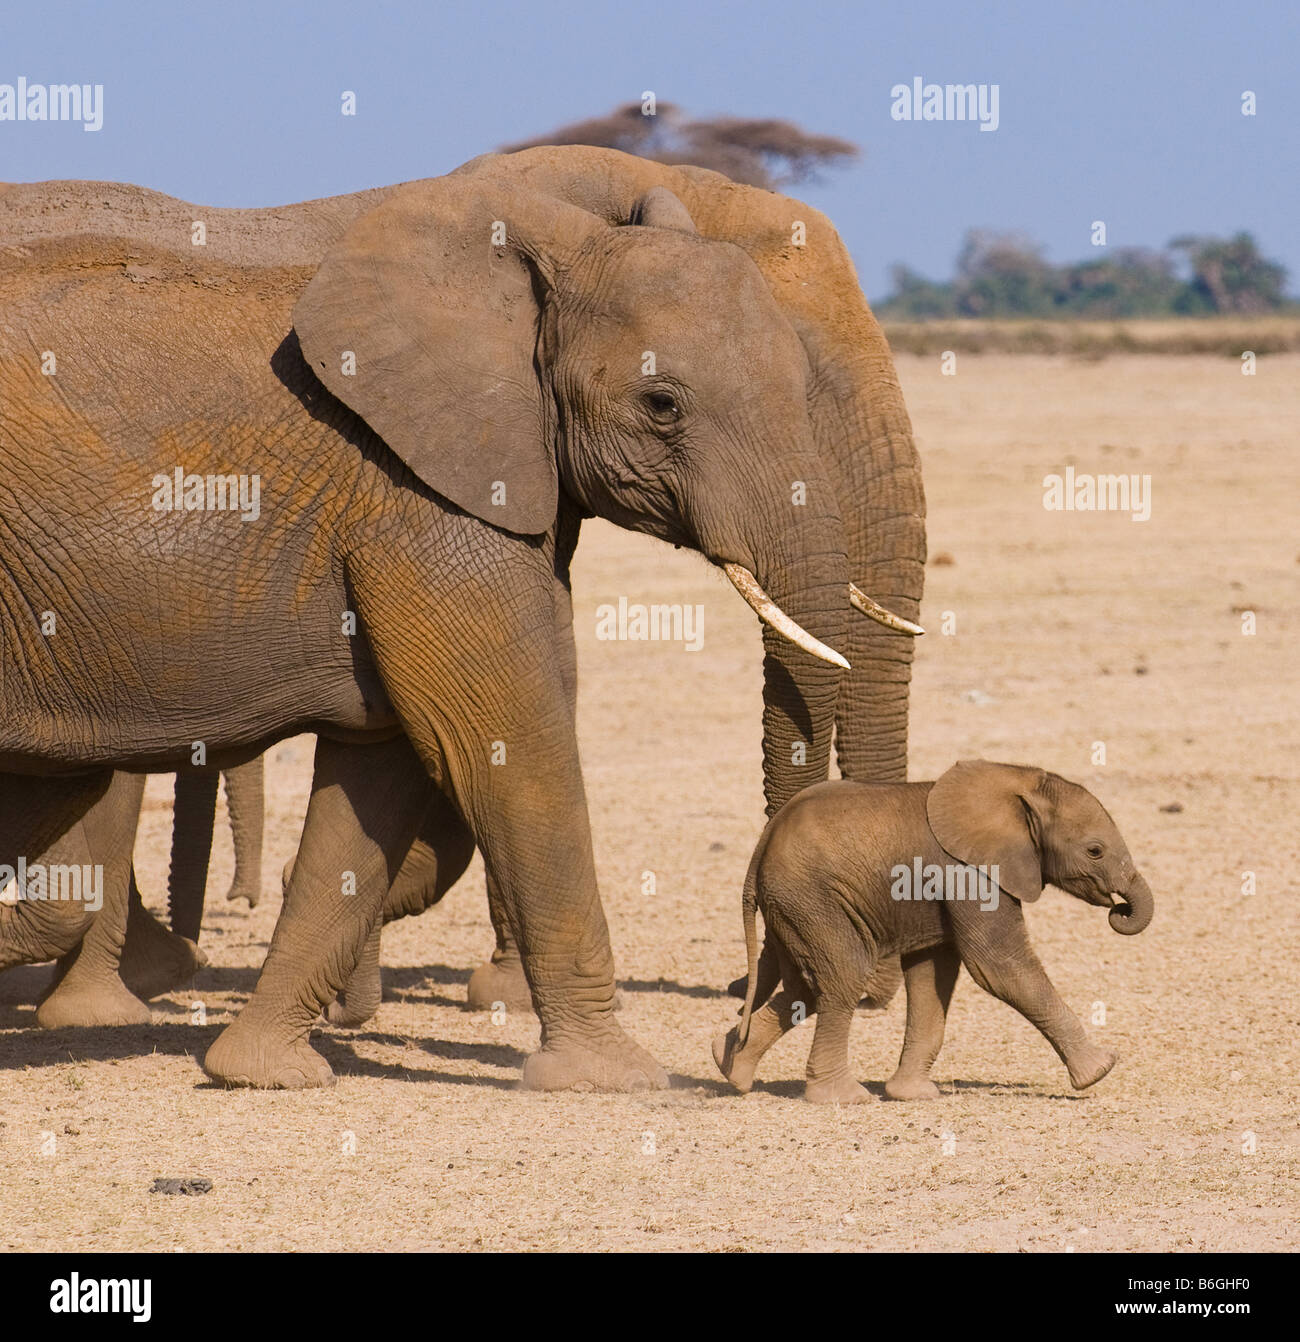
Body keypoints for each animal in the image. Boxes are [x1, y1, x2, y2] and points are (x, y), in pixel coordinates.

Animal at [0, 146, 917, 1089]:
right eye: (661, 404)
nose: (733, 1033)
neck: (558, 229)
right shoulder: (419, 488)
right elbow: (505, 741)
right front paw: (619, 1079)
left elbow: (388, 762)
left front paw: (263, 1070)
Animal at [713, 762, 1153, 1105]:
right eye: (1095, 851)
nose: (1118, 909)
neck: (1019, 782)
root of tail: (761, 847)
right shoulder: (968, 871)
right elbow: (996, 964)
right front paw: (1101, 1069)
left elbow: (933, 973)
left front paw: (912, 1095)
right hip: (811, 897)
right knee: (843, 975)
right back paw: (843, 1097)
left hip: (793, 907)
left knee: (806, 986)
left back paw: (729, 1065)